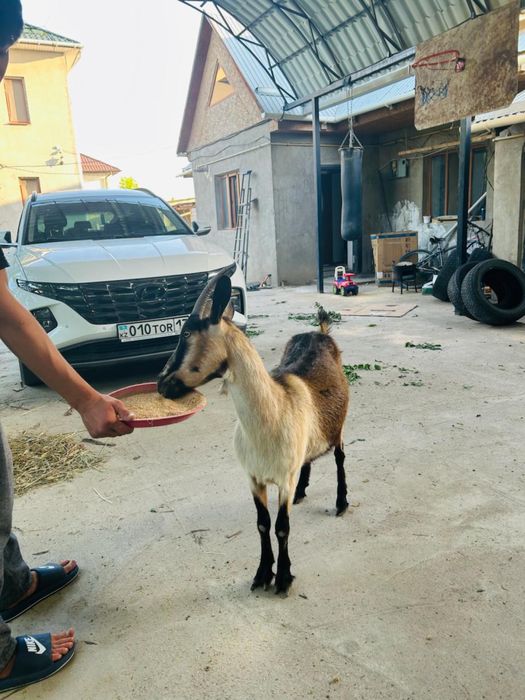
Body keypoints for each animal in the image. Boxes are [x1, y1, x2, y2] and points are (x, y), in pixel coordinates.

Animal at [158, 264, 350, 594]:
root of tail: (320, 332)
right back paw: (303, 492)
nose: (161, 383)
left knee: (339, 458)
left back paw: (341, 503)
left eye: (185, 332)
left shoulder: (284, 479)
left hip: (339, 426)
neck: (273, 413)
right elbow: (262, 524)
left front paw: (283, 578)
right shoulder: (253, 478)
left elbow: (282, 527)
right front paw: (261, 574)